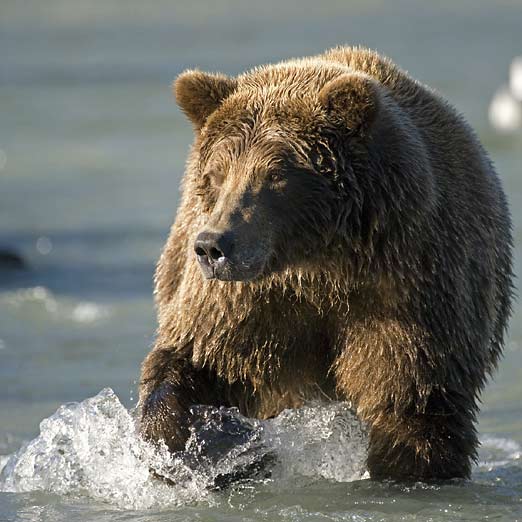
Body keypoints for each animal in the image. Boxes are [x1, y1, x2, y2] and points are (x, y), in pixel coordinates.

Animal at [138, 46, 512, 478]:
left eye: (275, 175)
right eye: (217, 173)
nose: (213, 246)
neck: (318, 264)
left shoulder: (407, 289)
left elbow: (409, 402)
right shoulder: (244, 303)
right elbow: (196, 358)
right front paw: (188, 443)